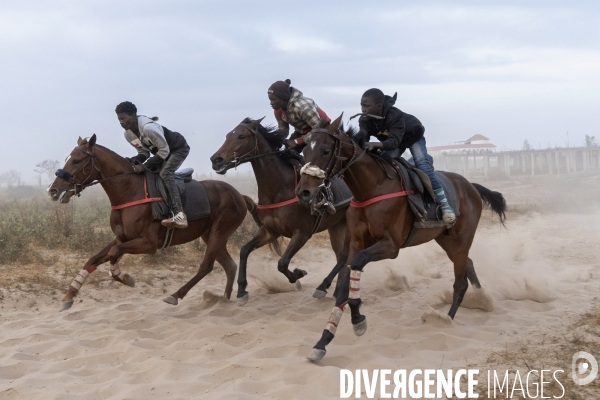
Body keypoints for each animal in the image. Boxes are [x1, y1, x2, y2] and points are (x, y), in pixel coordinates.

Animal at [47, 136, 253, 310]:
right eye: (68, 158)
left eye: (76, 160)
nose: (53, 190)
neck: (130, 191)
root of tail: (239, 195)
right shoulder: (122, 238)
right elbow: (94, 259)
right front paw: (69, 296)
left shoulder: (149, 243)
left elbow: (114, 254)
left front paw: (124, 277)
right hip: (210, 234)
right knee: (229, 266)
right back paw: (224, 300)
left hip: (219, 231)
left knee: (206, 266)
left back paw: (176, 295)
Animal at [212, 117, 350, 304]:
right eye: (228, 135)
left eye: (241, 136)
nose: (215, 160)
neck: (278, 188)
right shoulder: (270, 231)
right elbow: (244, 251)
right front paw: (241, 289)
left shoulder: (302, 233)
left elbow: (282, 263)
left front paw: (298, 274)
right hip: (336, 226)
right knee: (340, 255)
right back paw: (335, 291)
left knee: (345, 256)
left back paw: (326, 287)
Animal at [296, 114, 506, 360]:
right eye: (304, 151)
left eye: (326, 150)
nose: (303, 192)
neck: (372, 188)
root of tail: (471, 186)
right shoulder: (356, 243)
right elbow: (343, 289)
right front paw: (323, 341)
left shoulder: (391, 246)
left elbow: (356, 269)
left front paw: (358, 319)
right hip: (445, 239)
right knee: (468, 264)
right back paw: (481, 299)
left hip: (462, 238)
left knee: (460, 281)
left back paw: (447, 317)